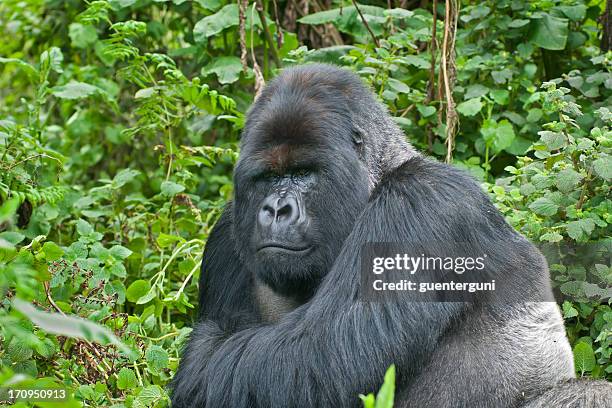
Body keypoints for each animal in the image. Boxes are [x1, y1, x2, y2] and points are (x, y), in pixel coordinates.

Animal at [172, 64, 612, 408]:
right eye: (267, 177)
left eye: (303, 173)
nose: (277, 209)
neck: (380, 178)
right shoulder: (226, 234)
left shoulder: (419, 204)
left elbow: (316, 356)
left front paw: (197, 364)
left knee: (589, 393)